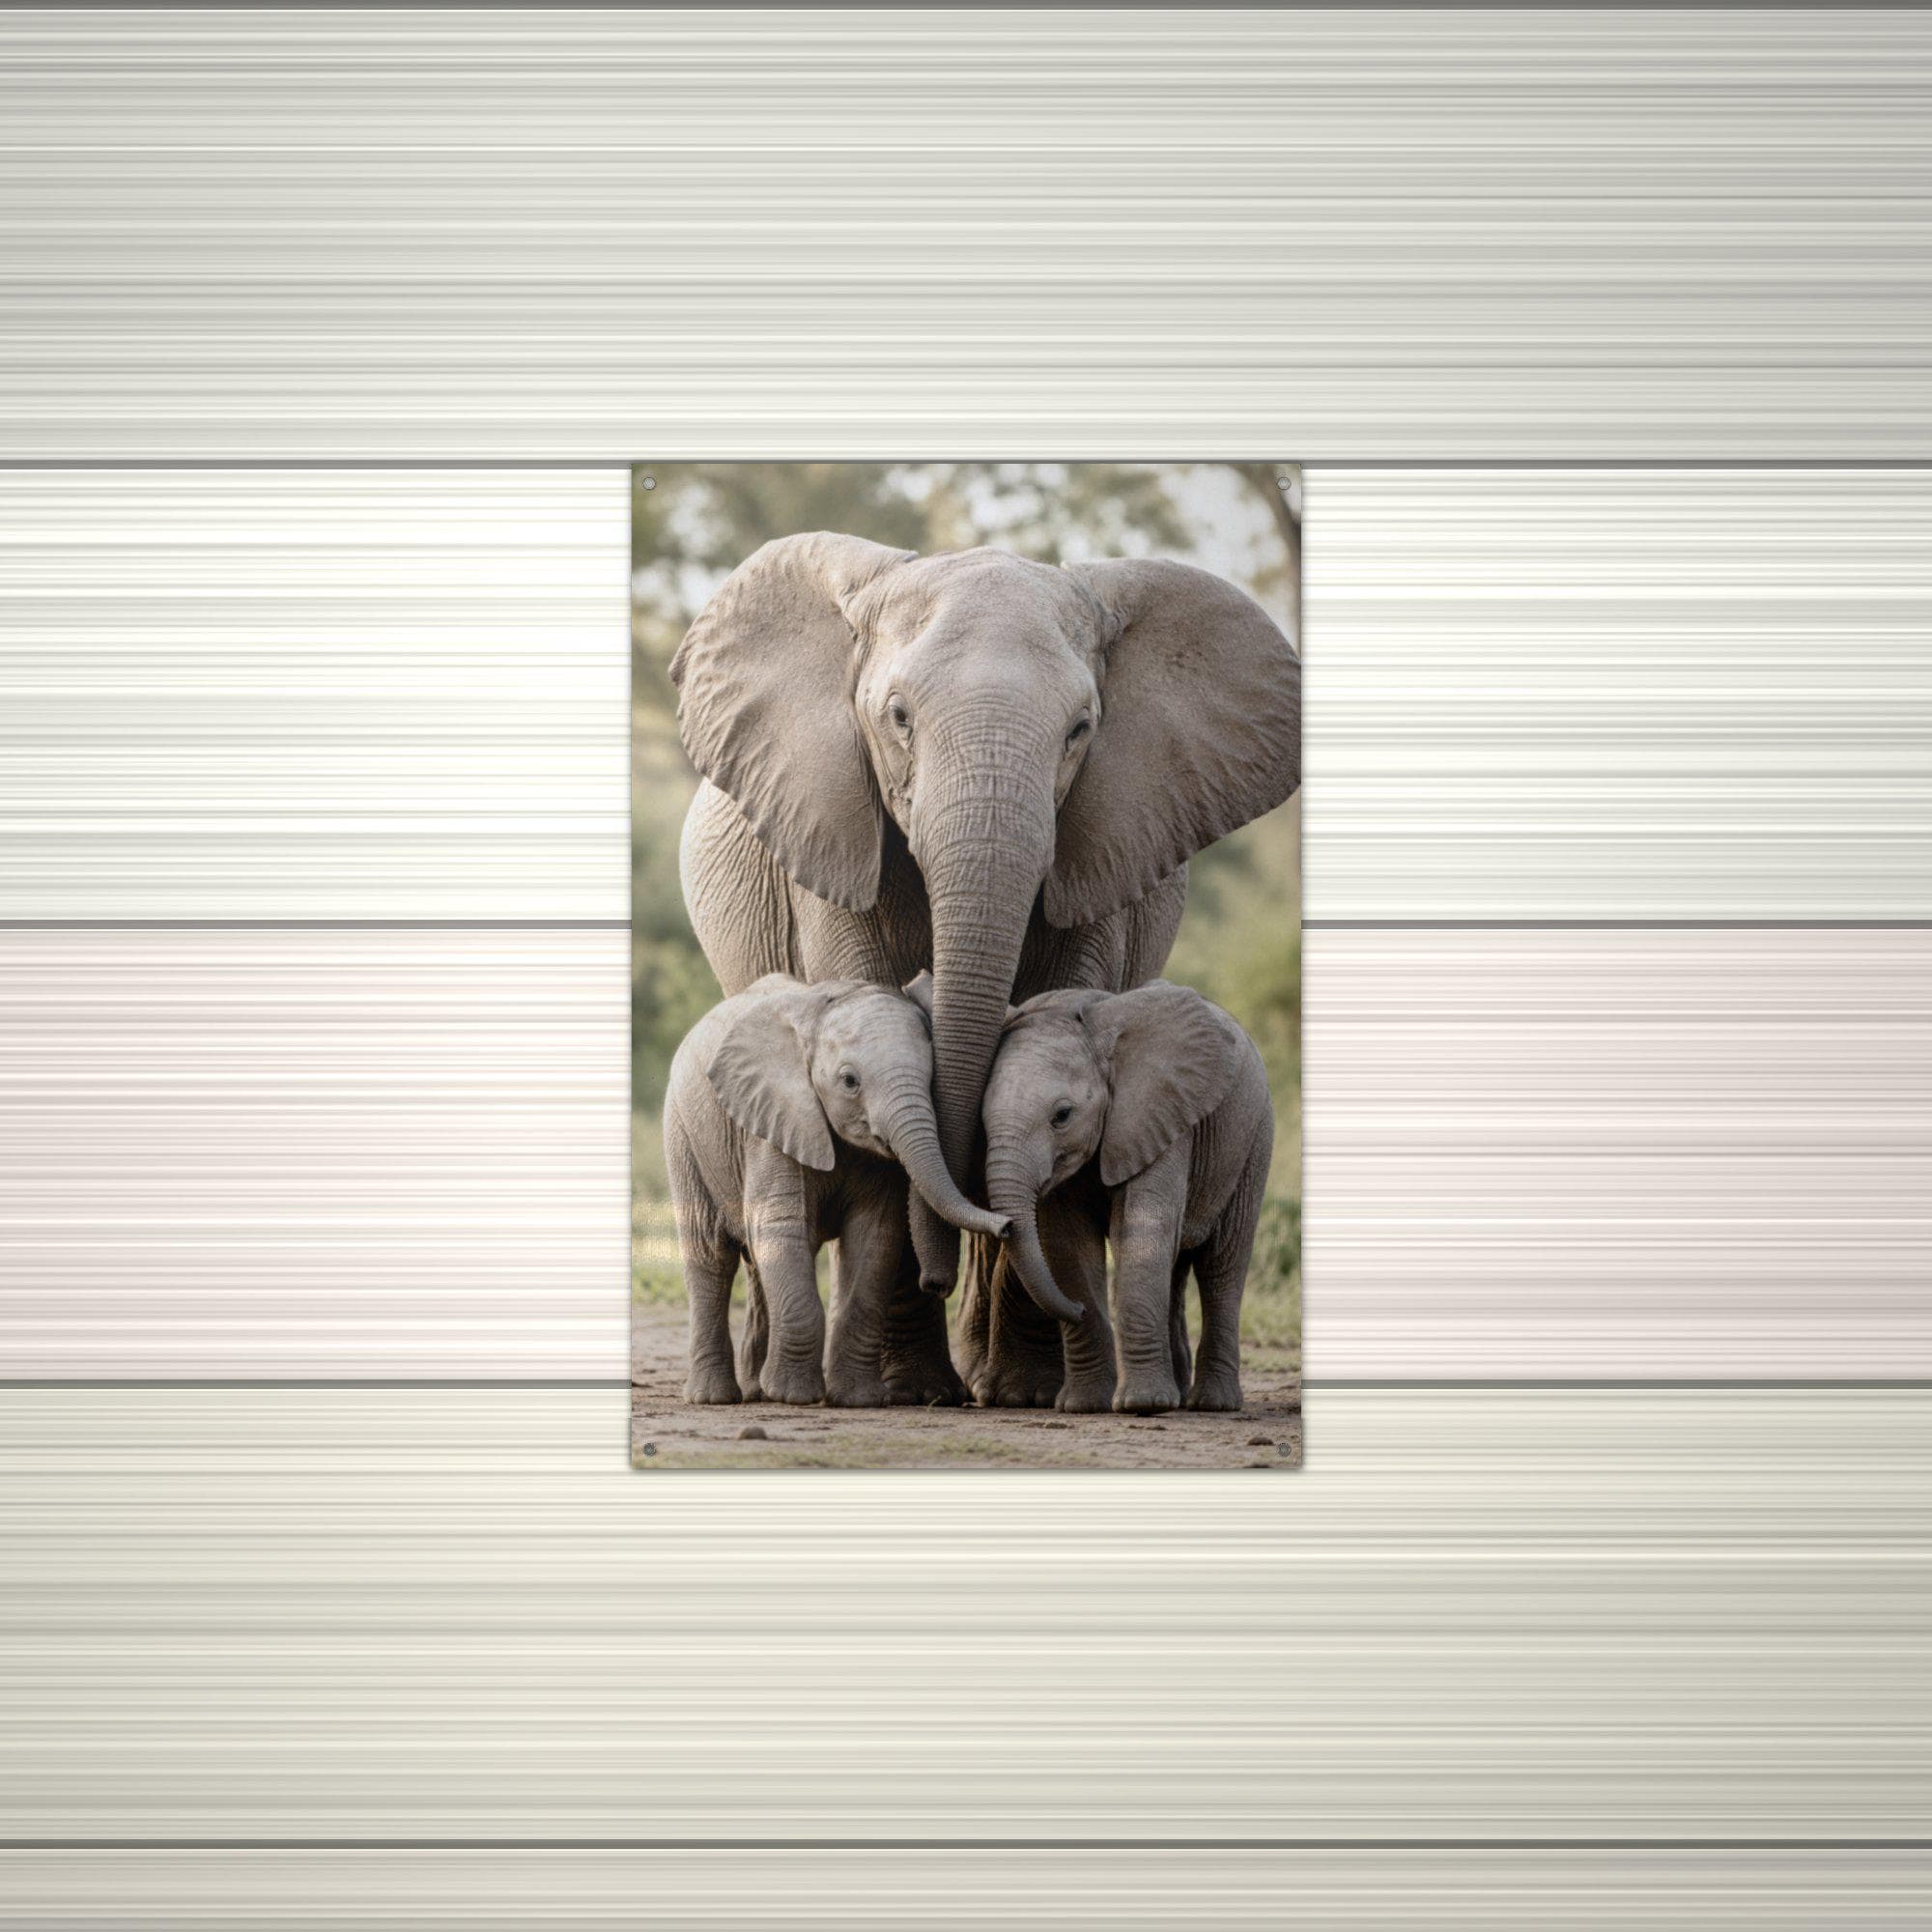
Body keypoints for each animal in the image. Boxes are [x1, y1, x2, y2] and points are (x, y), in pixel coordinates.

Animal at [663, 975, 1010, 1407]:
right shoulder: (771, 1123)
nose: (1007, 1225)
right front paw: (794, 1396)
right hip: (684, 1135)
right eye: (849, 1082)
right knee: (710, 1256)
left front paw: (858, 1400)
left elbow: (874, 1238)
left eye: (932, 1079)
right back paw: (714, 1398)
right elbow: (780, 1227)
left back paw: (756, 1390)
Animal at [980, 981, 1274, 1415]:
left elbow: (1141, 1232)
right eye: (981, 1120)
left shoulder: (1161, 1118)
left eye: (1062, 1116)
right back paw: (1179, 1395)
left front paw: (1143, 1403)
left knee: (1221, 1266)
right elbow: (1068, 1246)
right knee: (1177, 1266)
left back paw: (1211, 1403)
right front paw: (1084, 1406)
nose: (1078, 1309)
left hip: (1253, 1139)